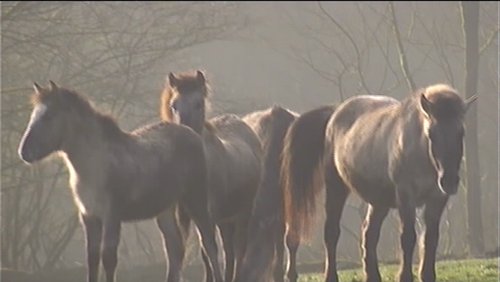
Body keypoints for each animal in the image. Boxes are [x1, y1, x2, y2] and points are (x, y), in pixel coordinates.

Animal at [17, 81, 224, 282]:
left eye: (49, 116)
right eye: (34, 115)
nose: (24, 151)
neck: (94, 164)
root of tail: (191, 133)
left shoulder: (112, 216)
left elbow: (109, 259)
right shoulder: (89, 216)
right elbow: (92, 260)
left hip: (196, 201)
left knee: (209, 245)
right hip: (165, 209)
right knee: (175, 250)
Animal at [161, 69, 264, 282]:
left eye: (199, 103)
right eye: (174, 105)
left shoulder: (206, 214)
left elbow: (207, 249)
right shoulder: (185, 216)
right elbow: (188, 251)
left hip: (242, 213)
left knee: (238, 249)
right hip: (225, 219)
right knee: (229, 251)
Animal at [282, 83, 476, 282]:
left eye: (461, 133)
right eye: (431, 134)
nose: (449, 181)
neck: (420, 152)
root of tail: (335, 113)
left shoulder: (437, 199)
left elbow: (430, 239)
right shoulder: (406, 197)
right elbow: (408, 238)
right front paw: (404, 276)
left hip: (379, 201)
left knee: (369, 234)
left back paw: (372, 275)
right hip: (336, 186)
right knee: (332, 232)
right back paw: (330, 276)